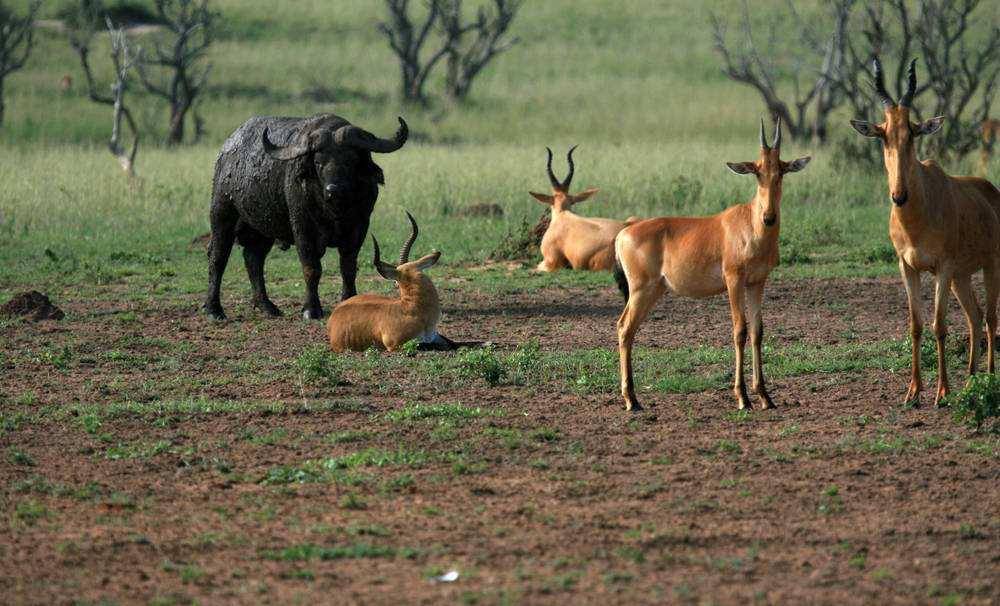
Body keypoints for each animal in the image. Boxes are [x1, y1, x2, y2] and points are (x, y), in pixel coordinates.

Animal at [203, 115, 406, 324]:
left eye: (350, 160)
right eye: (318, 162)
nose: (333, 190)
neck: (334, 211)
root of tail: (226, 150)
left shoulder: (359, 226)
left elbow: (348, 267)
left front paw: (350, 300)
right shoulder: (302, 227)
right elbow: (311, 268)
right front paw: (311, 309)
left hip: (262, 228)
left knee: (254, 259)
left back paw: (267, 306)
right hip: (221, 214)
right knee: (218, 257)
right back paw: (214, 309)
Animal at [326, 214, 456, 354]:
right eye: (396, 282)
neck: (412, 309)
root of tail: (333, 315)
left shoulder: (435, 336)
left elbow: (453, 343)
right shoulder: (395, 346)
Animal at [608, 119, 812, 414]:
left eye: (781, 171)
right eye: (757, 172)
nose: (769, 217)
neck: (749, 223)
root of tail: (626, 230)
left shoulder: (757, 282)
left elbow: (757, 331)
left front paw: (765, 397)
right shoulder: (733, 280)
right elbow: (739, 330)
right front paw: (742, 398)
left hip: (654, 290)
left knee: (629, 329)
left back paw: (633, 398)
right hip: (641, 290)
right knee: (624, 327)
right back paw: (631, 400)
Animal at [852, 58, 1000, 408]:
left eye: (913, 133)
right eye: (883, 135)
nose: (898, 196)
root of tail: (991, 191)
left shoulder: (942, 268)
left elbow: (939, 325)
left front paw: (941, 391)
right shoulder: (908, 267)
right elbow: (917, 326)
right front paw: (912, 391)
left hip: (990, 266)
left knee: (990, 318)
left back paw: (989, 377)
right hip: (962, 276)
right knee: (975, 317)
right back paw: (971, 378)